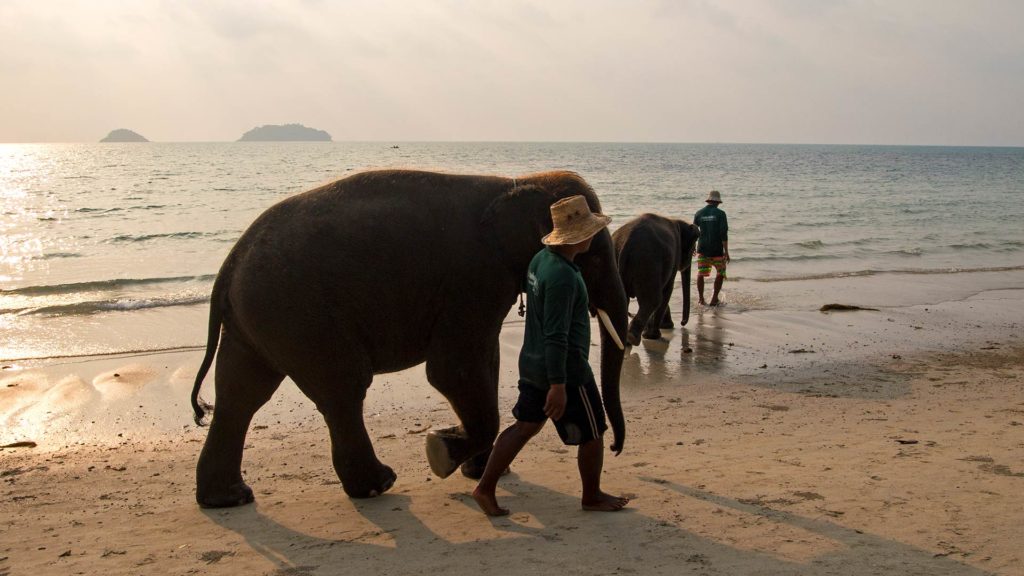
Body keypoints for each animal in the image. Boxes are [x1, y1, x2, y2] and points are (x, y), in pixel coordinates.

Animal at [188, 168, 626, 504]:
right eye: (595, 256)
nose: (617, 447)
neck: (517, 182)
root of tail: (230, 262)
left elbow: (486, 361)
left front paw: (477, 469)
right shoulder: (474, 278)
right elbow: (451, 370)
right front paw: (441, 452)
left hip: (258, 318)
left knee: (242, 395)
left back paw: (228, 498)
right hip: (298, 311)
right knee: (342, 388)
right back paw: (377, 485)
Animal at [610, 212, 700, 342]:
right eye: (693, 250)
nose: (682, 323)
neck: (677, 222)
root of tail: (626, 243)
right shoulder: (674, 256)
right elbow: (667, 290)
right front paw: (658, 333)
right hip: (648, 262)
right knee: (654, 299)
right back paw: (633, 338)